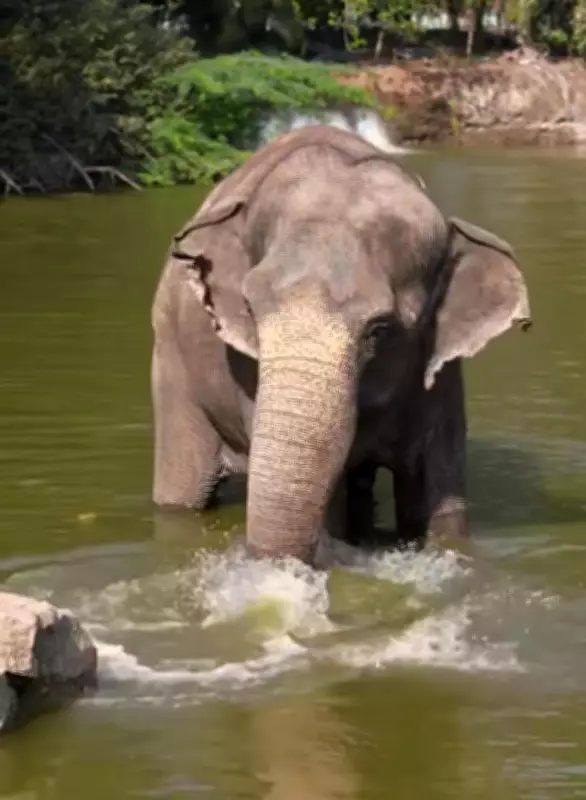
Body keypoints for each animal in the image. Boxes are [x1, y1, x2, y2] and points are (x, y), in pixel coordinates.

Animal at [150, 124, 531, 565]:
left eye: (379, 330)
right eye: (249, 310)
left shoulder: (441, 374)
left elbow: (439, 504)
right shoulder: (245, 372)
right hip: (170, 356)